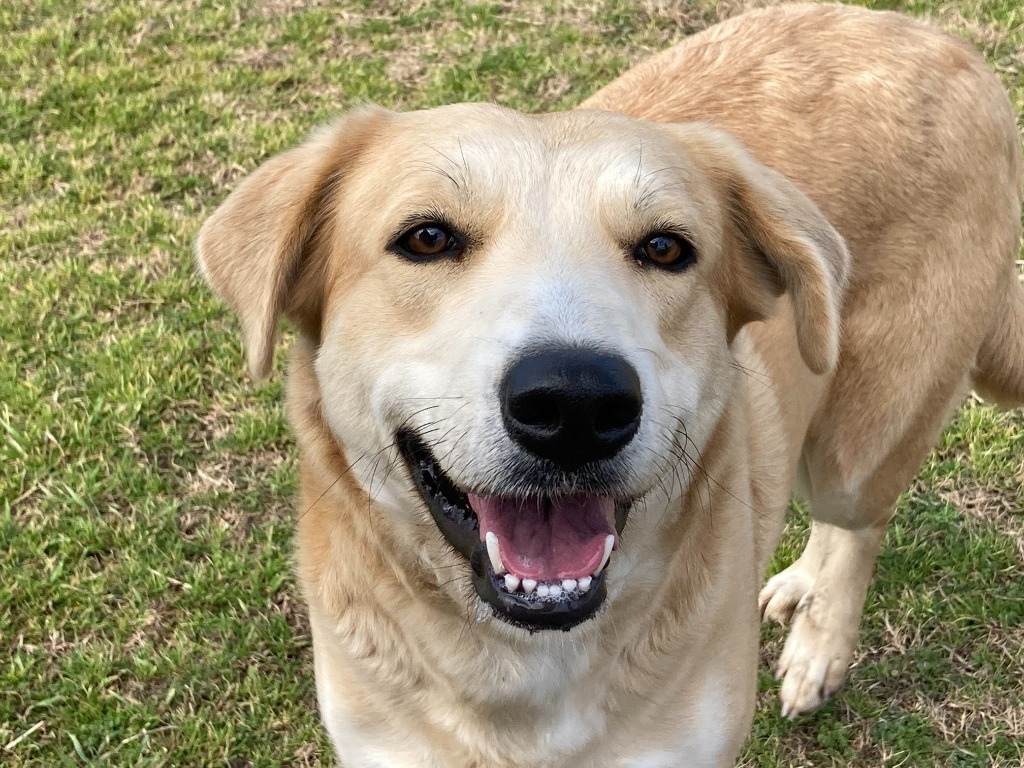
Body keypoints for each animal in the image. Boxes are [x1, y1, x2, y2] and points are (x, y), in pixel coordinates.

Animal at [193, 3, 1024, 765]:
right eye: (426, 237)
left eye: (665, 248)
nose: (575, 404)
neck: (528, 669)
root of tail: (936, 38)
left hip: (864, 435)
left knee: (857, 524)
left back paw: (821, 642)